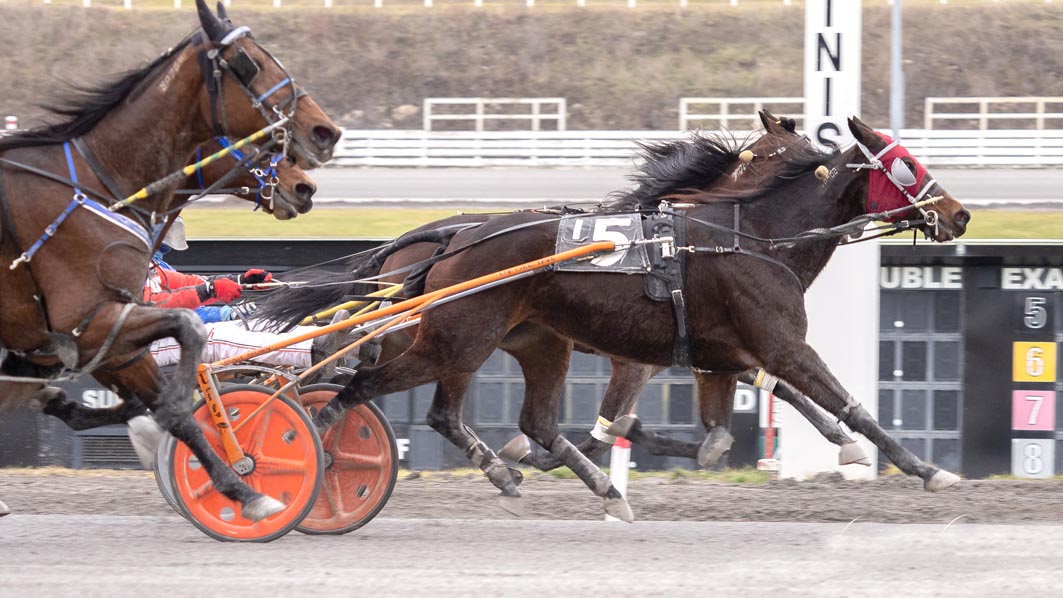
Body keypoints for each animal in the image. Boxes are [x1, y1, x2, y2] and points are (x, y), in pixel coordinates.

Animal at [0, 0, 339, 522]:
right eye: (249, 63)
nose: (325, 132)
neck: (101, 185)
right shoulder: (94, 325)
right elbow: (188, 340)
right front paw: (244, 485)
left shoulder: (107, 340)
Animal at [301, 116, 970, 521]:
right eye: (906, 166)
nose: (958, 214)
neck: (751, 235)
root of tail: (449, 240)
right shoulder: (769, 345)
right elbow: (843, 402)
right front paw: (923, 468)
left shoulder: (713, 355)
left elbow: (714, 430)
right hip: (455, 339)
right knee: (363, 380)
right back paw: (321, 444)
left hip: (526, 342)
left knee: (494, 415)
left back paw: (556, 479)